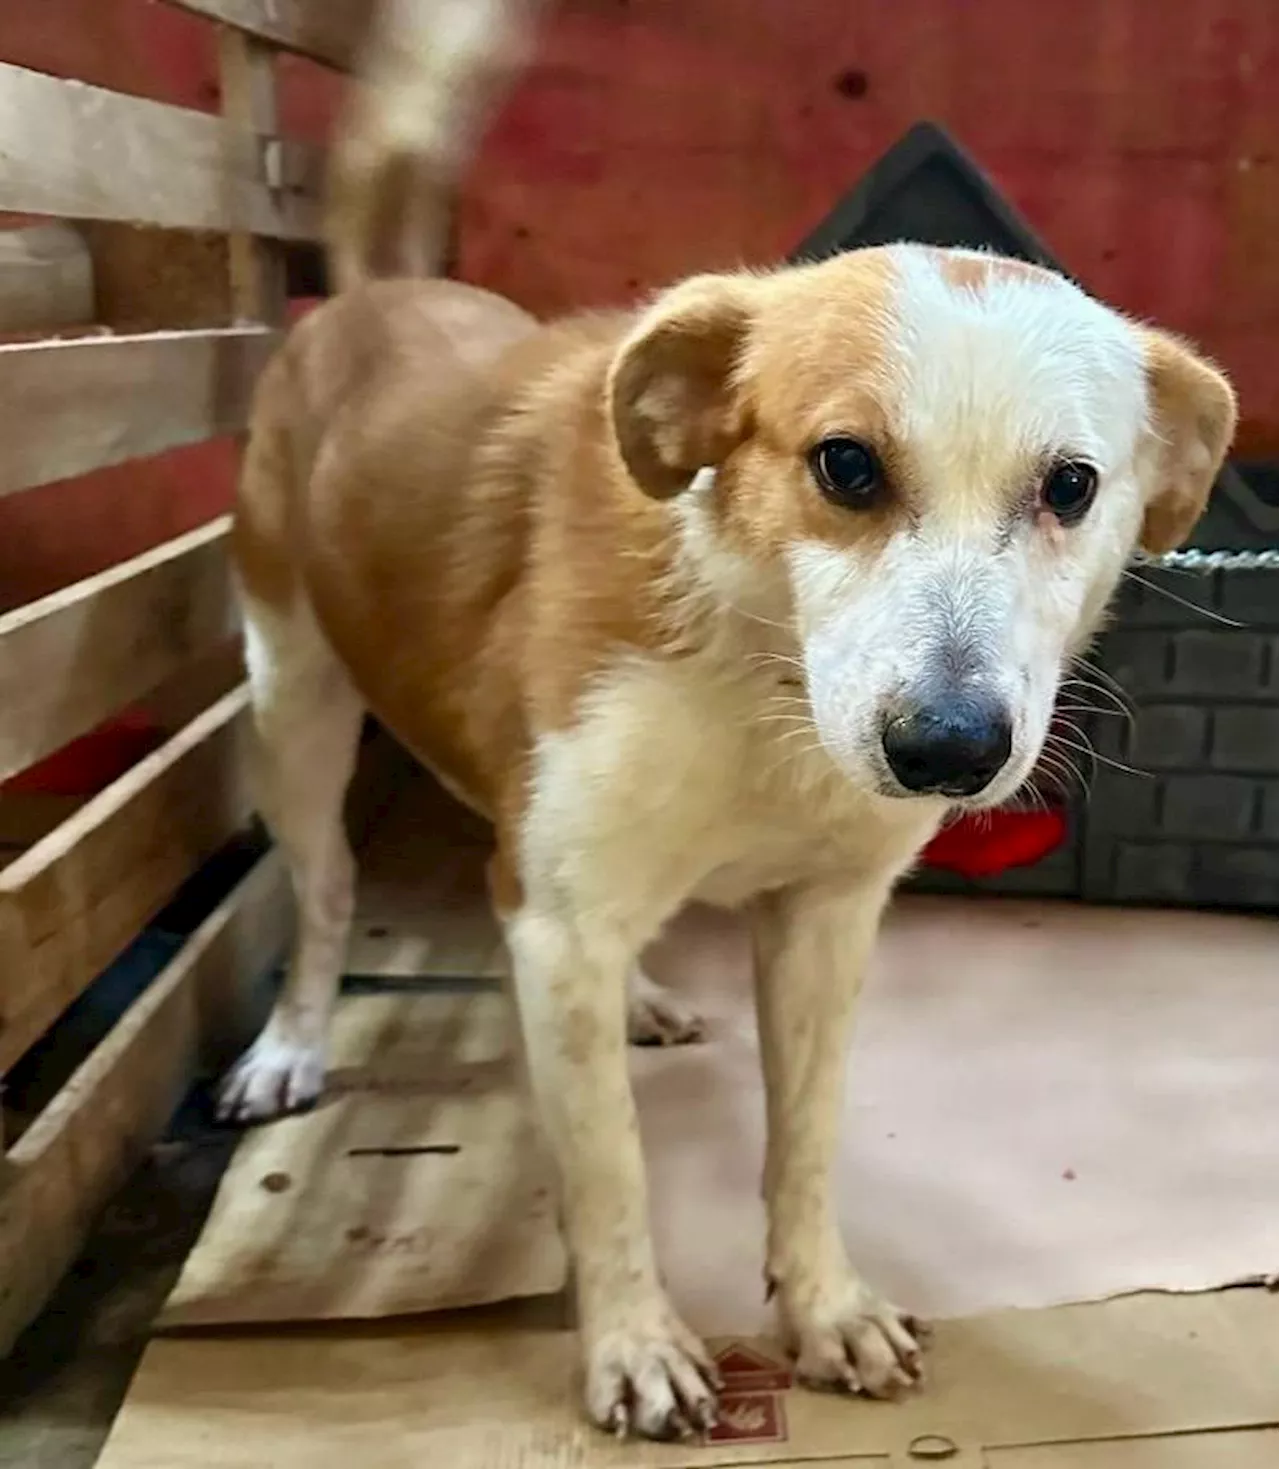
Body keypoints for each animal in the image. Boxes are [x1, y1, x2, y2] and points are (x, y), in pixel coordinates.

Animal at [217, 0, 1228, 1439]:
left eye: (1073, 487)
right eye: (844, 465)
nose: (948, 750)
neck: (765, 688)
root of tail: (369, 295)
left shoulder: (820, 923)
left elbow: (801, 1141)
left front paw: (822, 1307)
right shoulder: (563, 911)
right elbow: (611, 1173)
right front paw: (634, 1341)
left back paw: (638, 995)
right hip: (291, 705)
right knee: (326, 892)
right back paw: (293, 1043)